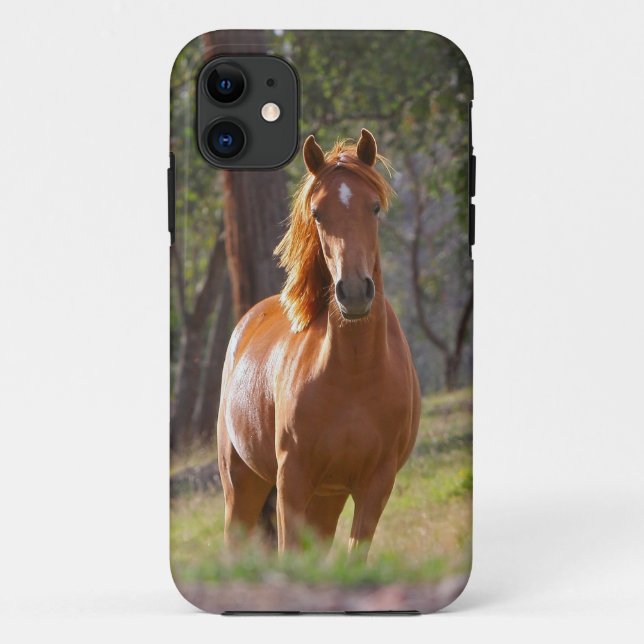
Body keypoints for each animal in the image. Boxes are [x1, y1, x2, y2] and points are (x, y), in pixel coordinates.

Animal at [216, 129, 420, 559]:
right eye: (318, 213)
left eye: (374, 208)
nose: (355, 292)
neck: (355, 372)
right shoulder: (292, 480)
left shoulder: (375, 486)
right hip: (242, 486)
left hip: (328, 498)